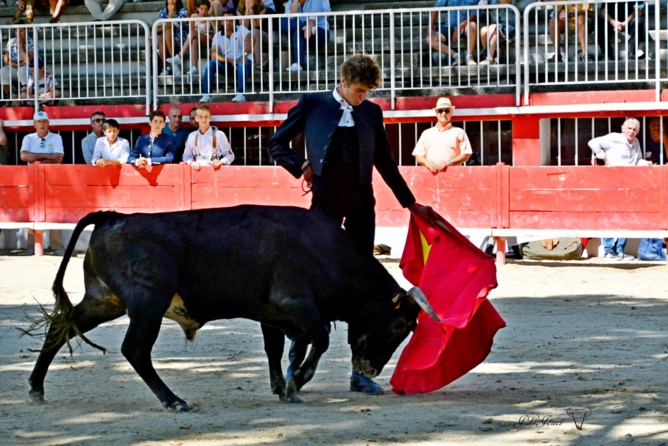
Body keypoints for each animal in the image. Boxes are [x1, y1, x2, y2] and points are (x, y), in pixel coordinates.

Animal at [27, 206, 438, 412]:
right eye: (400, 325)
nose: (371, 369)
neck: (328, 252)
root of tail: (112, 216)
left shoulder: (273, 314)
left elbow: (277, 347)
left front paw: (283, 387)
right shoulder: (295, 303)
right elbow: (319, 338)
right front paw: (297, 382)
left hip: (104, 300)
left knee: (63, 325)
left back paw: (35, 388)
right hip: (148, 303)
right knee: (136, 350)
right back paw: (174, 401)